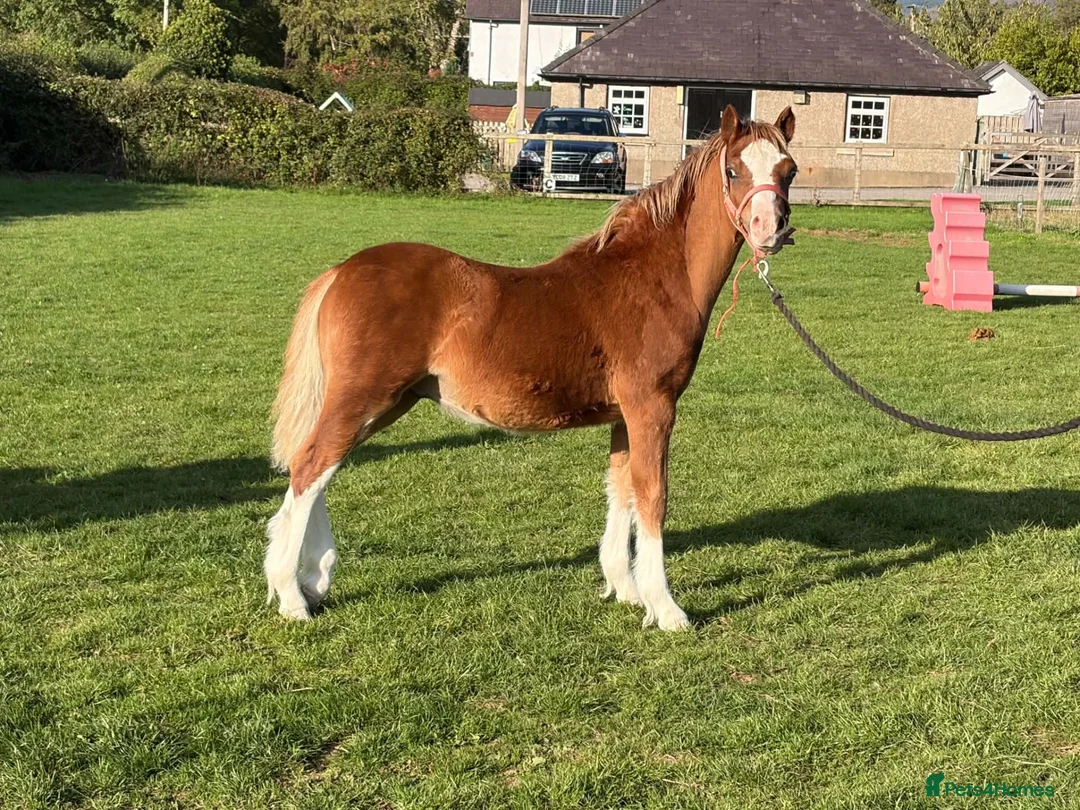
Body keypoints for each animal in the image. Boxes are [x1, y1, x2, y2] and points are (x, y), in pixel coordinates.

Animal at [265, 104, 798, 631]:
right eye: (733, 170)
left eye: (788, 171)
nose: (769, 229)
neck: (652, 277)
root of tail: (339, 272)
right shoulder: (653, 406)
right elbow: (652, 495)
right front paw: (666, 608)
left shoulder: (624, 415)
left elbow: (621, 488)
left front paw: (625, 589)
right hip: (366, 396)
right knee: (312, 465)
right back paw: (292, 596)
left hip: (388, 402)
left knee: (321, 467)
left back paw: (314, 580)